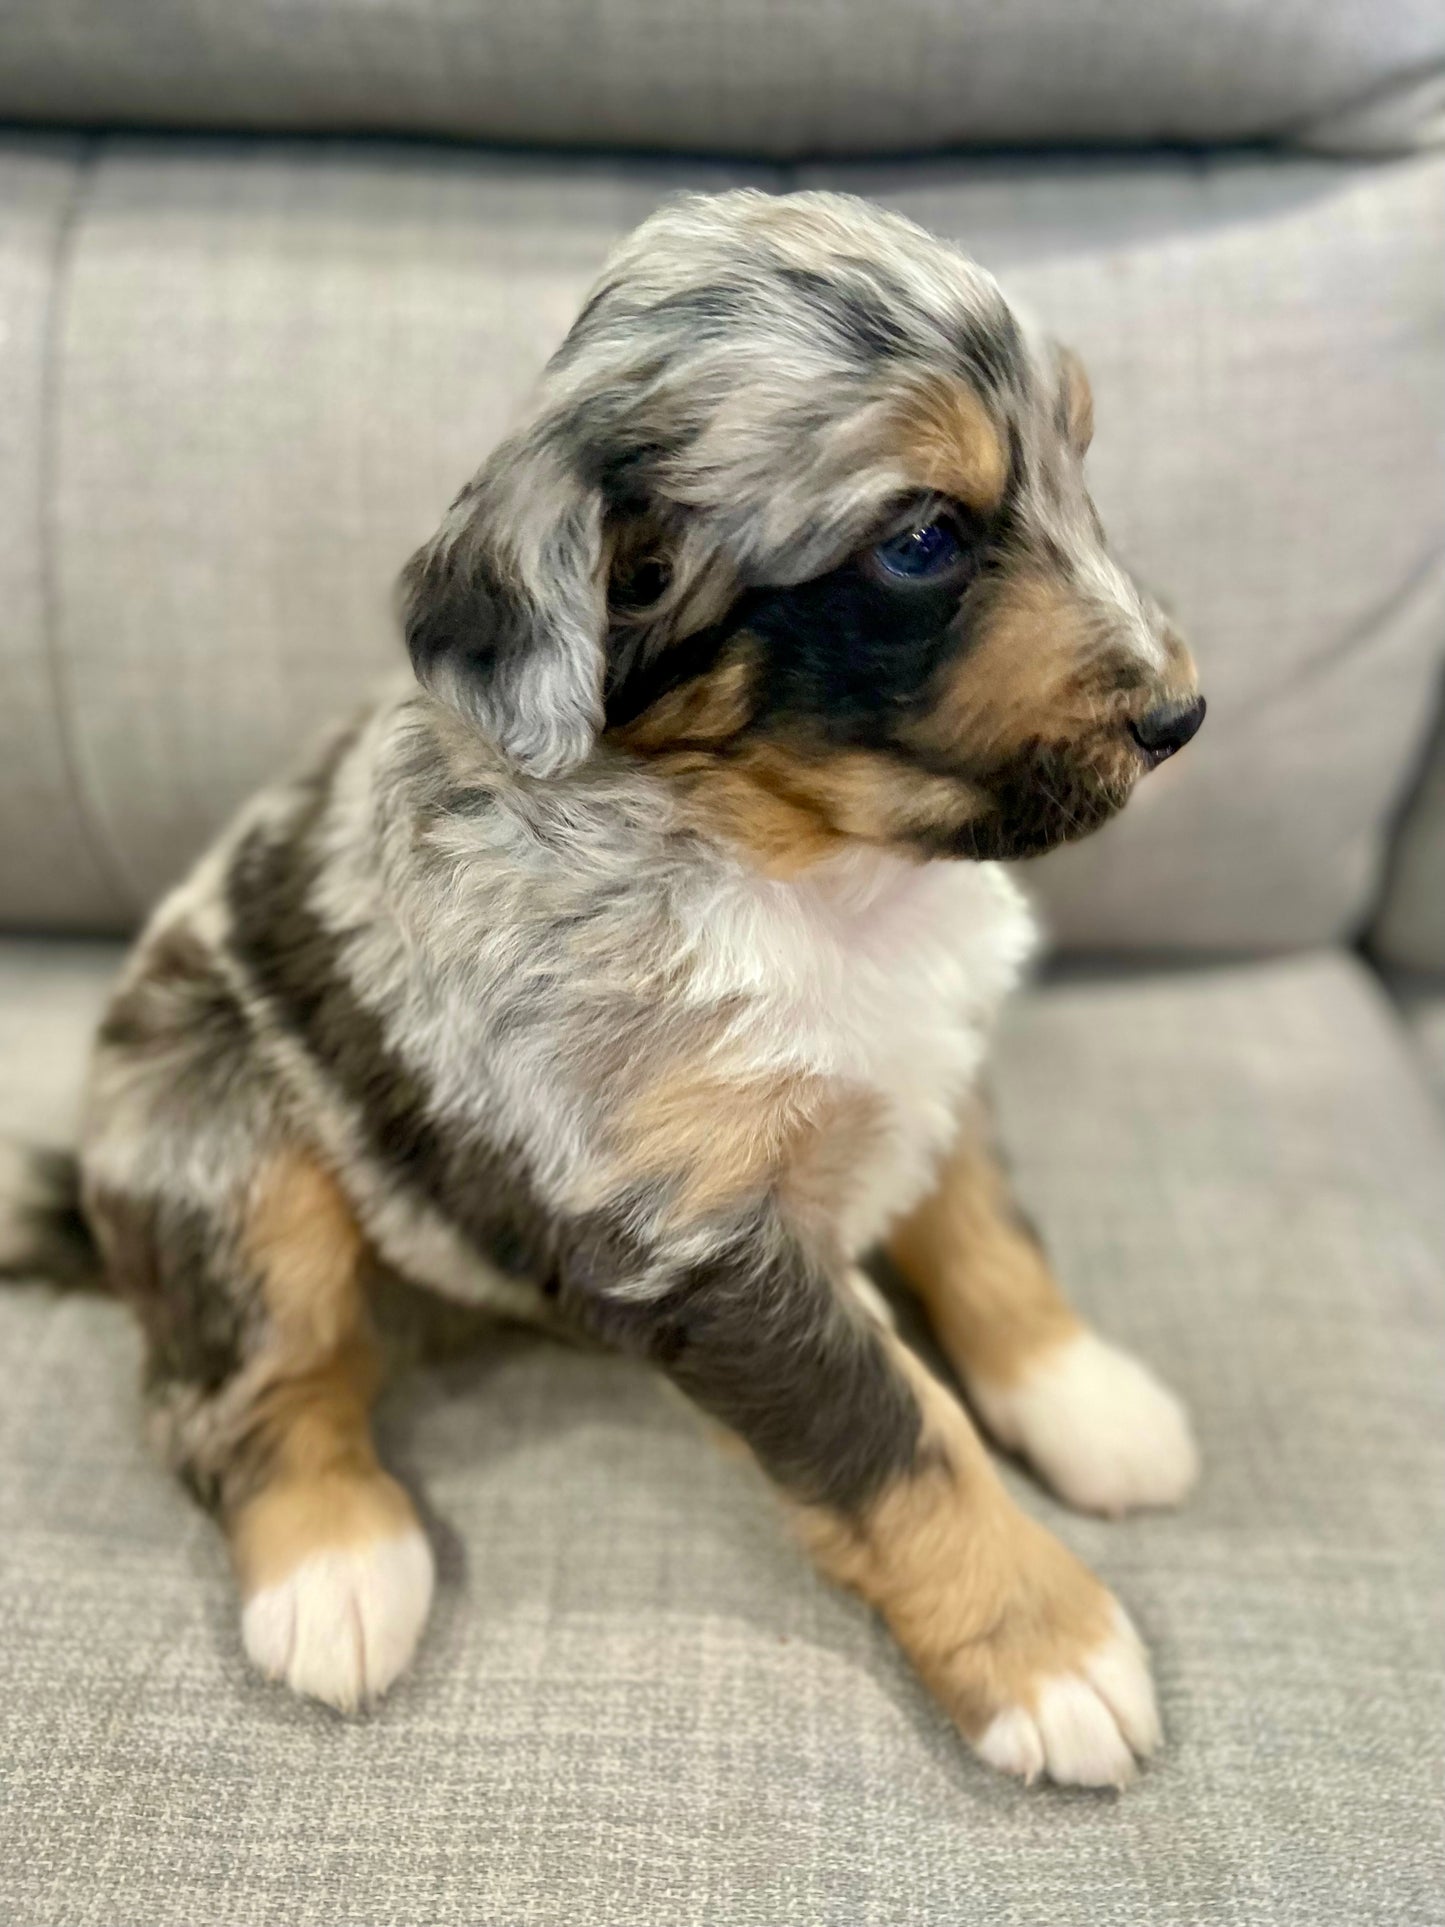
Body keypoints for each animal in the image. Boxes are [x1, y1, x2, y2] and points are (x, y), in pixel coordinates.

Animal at [11, 187, 1209, 1780]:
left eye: (1078, 460)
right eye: (922, 539)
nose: (1180, 714)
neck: (809, 863)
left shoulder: (933, 1059)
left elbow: (988, 1233)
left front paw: (1082, 1393)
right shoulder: (694, 1236)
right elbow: (895, 1434)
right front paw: (1047, 1646)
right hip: (224, 1135)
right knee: (243, 1384)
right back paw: (334, 1568)